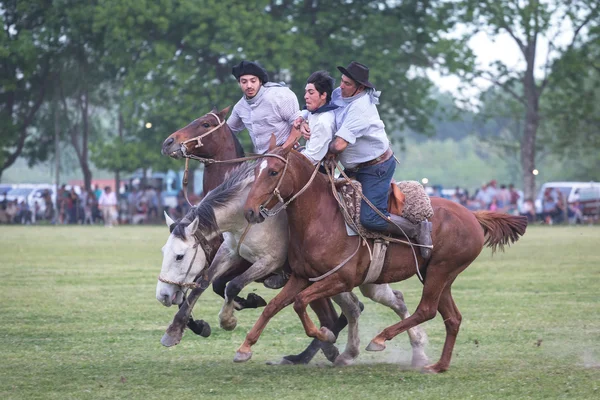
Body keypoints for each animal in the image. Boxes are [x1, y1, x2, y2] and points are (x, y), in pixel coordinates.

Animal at [155, 162, 426, 366]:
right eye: (164, 252)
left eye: (179, 256)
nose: (163, 295)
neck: (244, 216)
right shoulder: (230, 253)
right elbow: (204, 283)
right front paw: (175, 330)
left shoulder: (268, 261)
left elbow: (232, 286)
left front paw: (228, 319)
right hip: (355, 281)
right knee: (364, 306)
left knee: (384, 304)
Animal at [238, 143, 524, 372]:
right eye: (255, 170)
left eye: (273, 171)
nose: (249, 211)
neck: (321, 218)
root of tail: (473, 215)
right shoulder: (301, 277)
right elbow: (274, 306)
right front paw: (244, 348)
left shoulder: (341, 279)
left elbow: (299, 303)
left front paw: (325, 335)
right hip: (441, 276)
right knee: (451, 317)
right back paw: (438, 365)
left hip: (440, 271)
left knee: (426, 310)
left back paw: (380, 340)